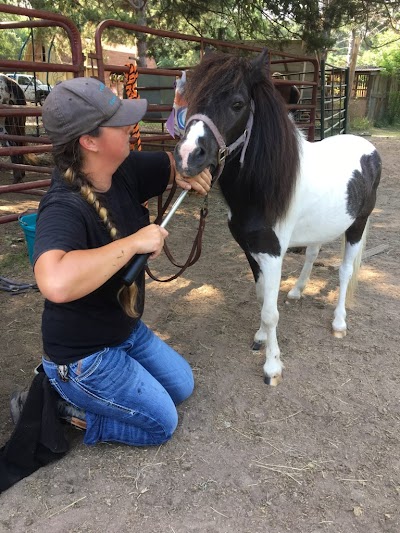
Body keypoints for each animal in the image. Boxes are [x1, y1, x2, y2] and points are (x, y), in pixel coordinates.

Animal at [175, 51, 382, 386]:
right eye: (192, 98)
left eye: (237, 103)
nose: (186, 157)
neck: (264, 188)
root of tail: (368, 148)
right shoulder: (250, 250)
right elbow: (262, 298)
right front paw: (260, 338)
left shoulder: (272, 253)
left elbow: (271, 313)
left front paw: (272, 367)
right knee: (312, 253)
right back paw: (297, 291)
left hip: (357, 225)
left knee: (345, 271)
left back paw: (339, 323)